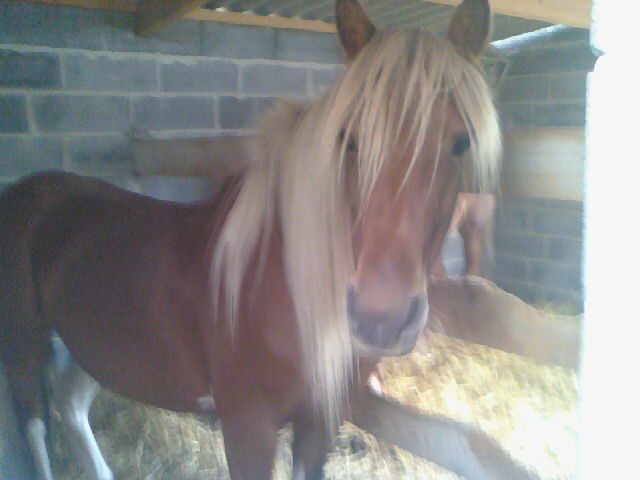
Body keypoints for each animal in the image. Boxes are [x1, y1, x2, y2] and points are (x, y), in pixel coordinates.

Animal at [0, 1, 536, 479]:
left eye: (462, 141)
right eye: (348, 138)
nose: (380, 321)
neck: (284, 292)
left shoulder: (318, 424)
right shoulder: (248, 429)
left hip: (93, 345)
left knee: (71, 405)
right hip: (22, 339)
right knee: (35, 425)